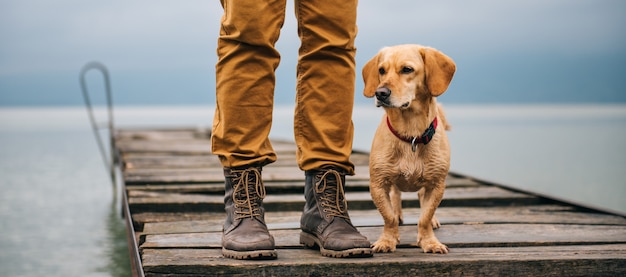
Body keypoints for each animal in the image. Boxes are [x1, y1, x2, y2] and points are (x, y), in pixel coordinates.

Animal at [360, 44, 454, 253]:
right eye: (381, 70)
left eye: (407, 69)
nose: (380, 93)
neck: (410, 135)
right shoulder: (378, 184)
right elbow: (388, 216)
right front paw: (387, 240)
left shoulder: (436, 185)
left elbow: (425, 216)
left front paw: (429, 241)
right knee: (395, 197)